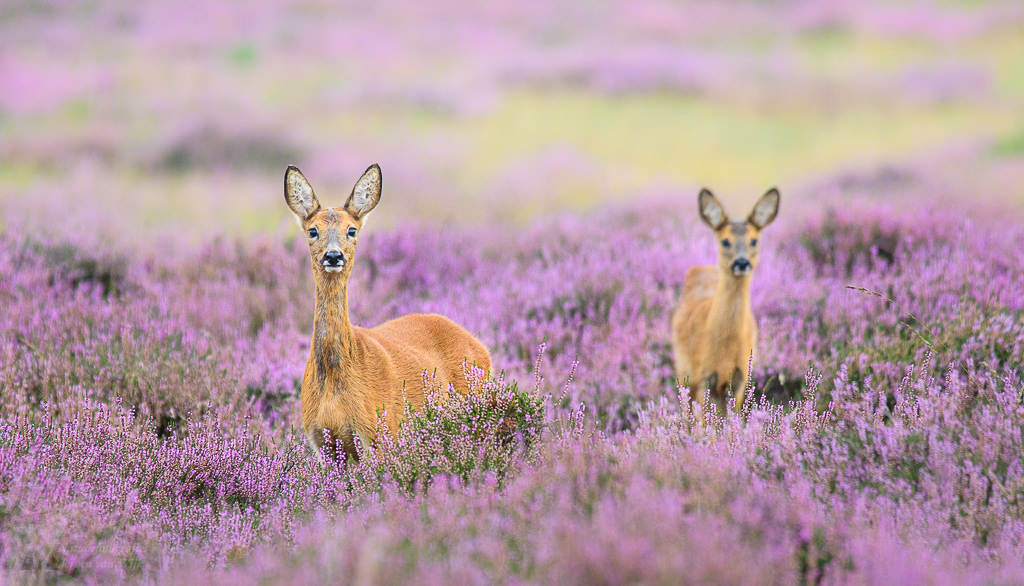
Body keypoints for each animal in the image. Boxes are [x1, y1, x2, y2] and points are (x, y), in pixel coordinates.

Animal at [284, 163, 492, 460]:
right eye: (313, 231)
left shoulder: (380, 431)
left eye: (351, 230)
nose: (333, 256)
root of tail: (481, 347)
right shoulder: (322, 442)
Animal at [671, 187, 779, 416]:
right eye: (725, 241)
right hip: (683, 368)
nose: (742, 263)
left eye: (754, 240)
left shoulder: (740, 376)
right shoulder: (702, 374)